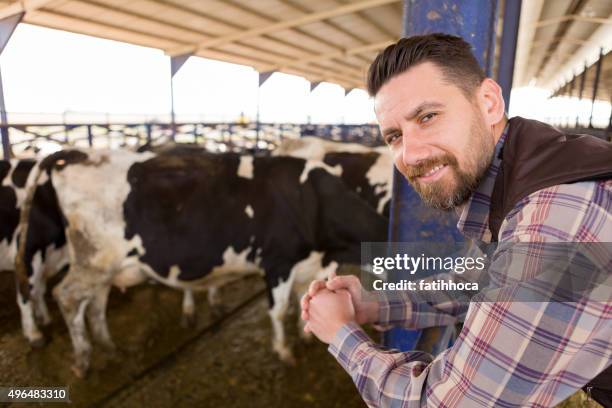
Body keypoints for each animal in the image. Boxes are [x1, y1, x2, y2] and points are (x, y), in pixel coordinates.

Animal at [19, 147, 388, 376]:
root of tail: (76, 153)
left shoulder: (311, 265)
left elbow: (305, 299)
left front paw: (308, 334)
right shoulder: (278, 262)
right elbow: (280, 310)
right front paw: (284, 351)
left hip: (100, 265)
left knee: (95, 301)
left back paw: (109, 347)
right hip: (94, 259)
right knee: (66, 296)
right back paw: (82, 359)